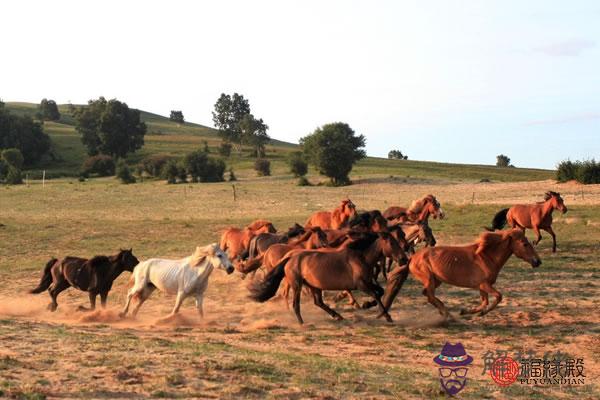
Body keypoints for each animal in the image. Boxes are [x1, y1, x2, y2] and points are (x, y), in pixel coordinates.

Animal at [246, 233, 392, 324]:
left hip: (313, 285)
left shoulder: (367, 282)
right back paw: (301, 322)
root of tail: (289, 257)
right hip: (297, 285)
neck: (361, 257)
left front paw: (368, 305)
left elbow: (380, 291)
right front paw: (386, 315)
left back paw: (337, 316)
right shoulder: (361, 284)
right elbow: (375, 294)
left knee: (318, 302)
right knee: (295, 302)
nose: (400, 258)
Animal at [380, 230, 540, 320]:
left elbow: (484, 302)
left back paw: (445, 312)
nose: (538, 261)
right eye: (525, 244)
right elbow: (498, 297)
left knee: (427, 294)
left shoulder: (482, 287)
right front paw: (480, 313)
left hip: (436, 280)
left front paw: (468, 312)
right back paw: (448, 315)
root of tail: (412, 258)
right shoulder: (484, 285)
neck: (486, 256)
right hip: (429, 279)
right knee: (430, 295)